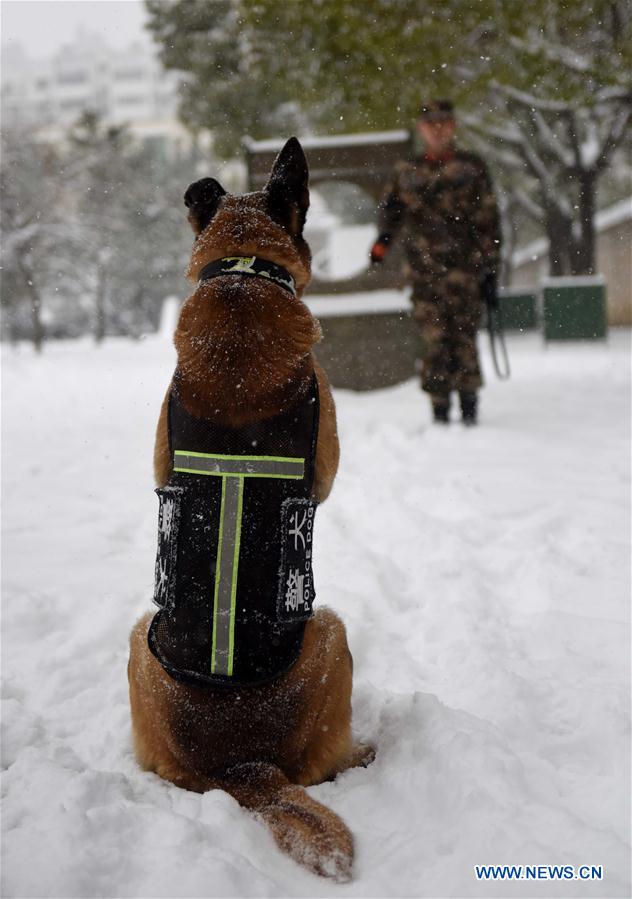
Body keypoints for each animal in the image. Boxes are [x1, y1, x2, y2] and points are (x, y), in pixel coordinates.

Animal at [129, 139, 376, 880]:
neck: (242, 272)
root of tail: (240, 766)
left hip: (136, 641)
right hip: (331, 630)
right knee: (320, 768)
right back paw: (362, 751)